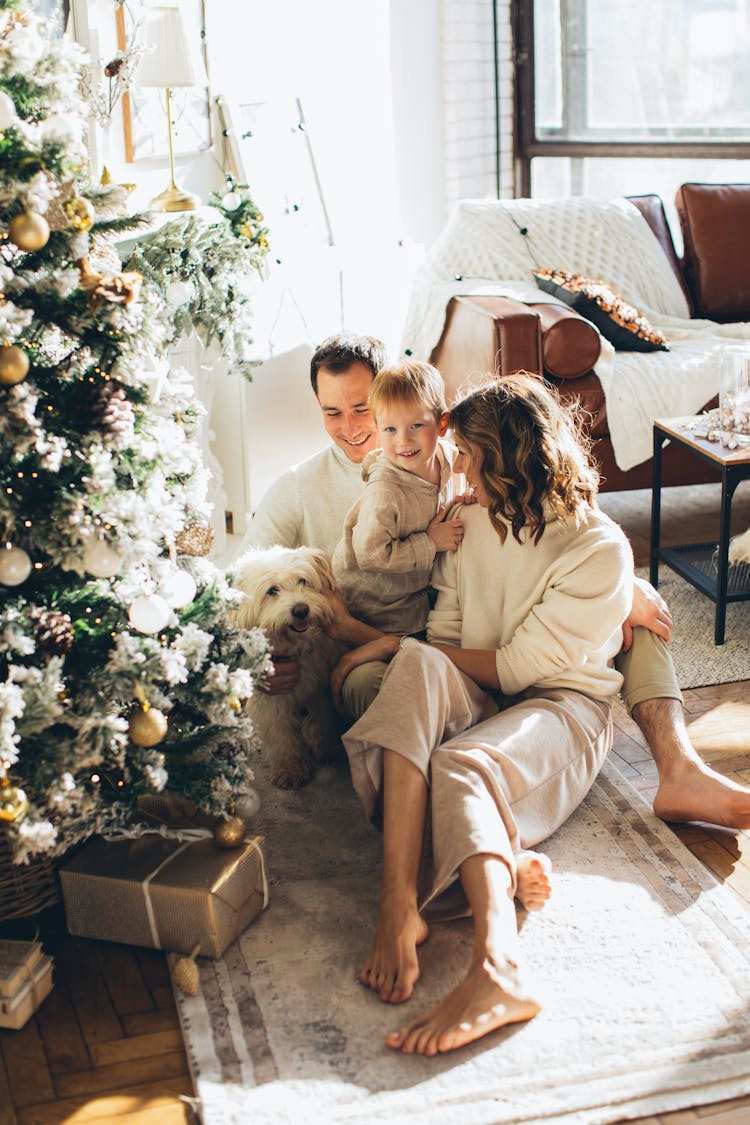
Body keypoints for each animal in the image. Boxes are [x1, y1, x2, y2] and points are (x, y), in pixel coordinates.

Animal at [231, 544, 344, 792]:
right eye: (272, 591)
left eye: (303, 581)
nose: (301, 610)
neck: (294, 648)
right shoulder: (271, 701)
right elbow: (280, 736)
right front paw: (290, 769)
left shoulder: (319, 690)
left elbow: (322, 722)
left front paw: (328, 750)